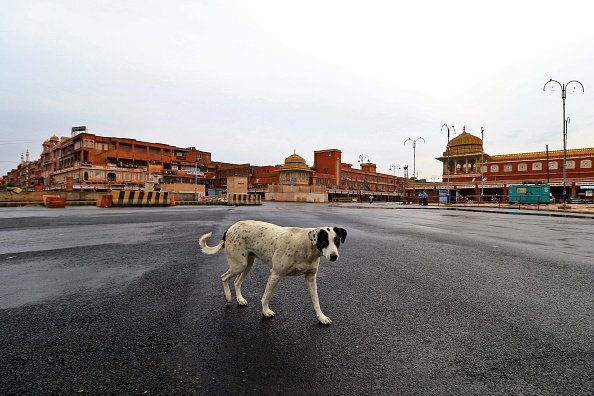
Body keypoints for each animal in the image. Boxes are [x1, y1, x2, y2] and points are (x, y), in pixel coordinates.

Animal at [199, 220, 346, 324]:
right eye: (324, 241)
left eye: (337, 241)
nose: (334, 256)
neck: (306, 246)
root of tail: (230, 228)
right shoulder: (275, 274)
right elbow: (266, 296)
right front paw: (265, 312)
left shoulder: (310, 278)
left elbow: (316, 301)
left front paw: (321, 317)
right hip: (239, 265)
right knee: (223, 277)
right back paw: (228, 296)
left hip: (247, 264)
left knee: (236, 282)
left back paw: (240, 299)